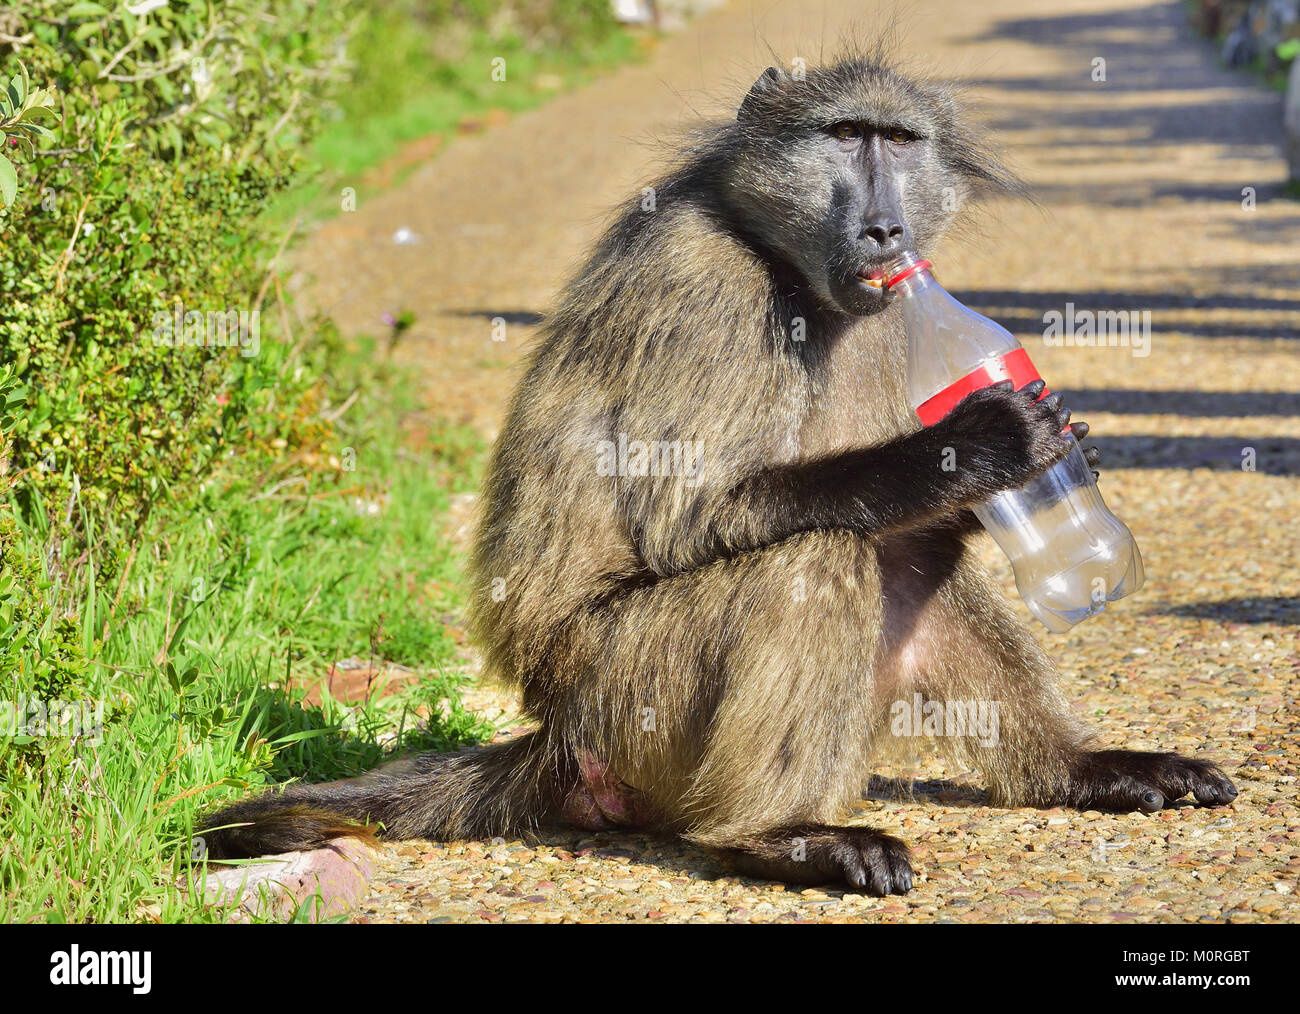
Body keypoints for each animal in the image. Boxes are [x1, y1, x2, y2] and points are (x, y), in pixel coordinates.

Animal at [199, 47, 1237, 896]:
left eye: (900, 141)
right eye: (844, 137)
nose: (886, 231)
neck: (781, 257)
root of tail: (558, 735)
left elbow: (917, 526)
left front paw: (1034, 460)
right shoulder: (702, 287)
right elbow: (687, 513)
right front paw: (990, 448)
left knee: (911, 562)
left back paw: (1079, 771)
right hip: (624, 692)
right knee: (814, 556)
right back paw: (781, 836)